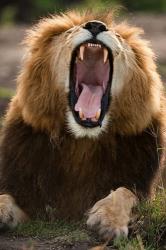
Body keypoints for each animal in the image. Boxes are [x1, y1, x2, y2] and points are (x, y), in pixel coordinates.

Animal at [0, 10, 166, 239]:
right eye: (70, 32)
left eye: (118, 36)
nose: (96, 25)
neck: (82, 142)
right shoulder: (26, 195)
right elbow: (5, 197)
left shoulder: (143, 189)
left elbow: (125, 192)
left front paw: (108, 219)